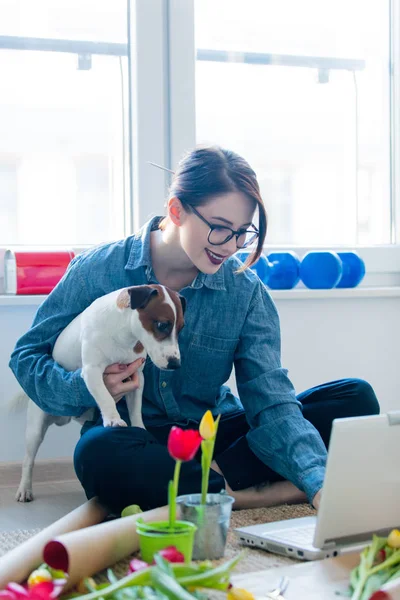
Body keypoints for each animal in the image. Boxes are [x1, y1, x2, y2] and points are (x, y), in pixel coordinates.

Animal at [11, 284, 186, 500]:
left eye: (181, 328)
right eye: (162, 325)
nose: (176, 364)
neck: (124, 334)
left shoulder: (136, 376)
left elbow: (136, 409)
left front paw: (139, 427)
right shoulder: (92, 372)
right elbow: (106, 398)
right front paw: (113, 420)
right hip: (35, 428)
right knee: (28, 460)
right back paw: (24, 489)